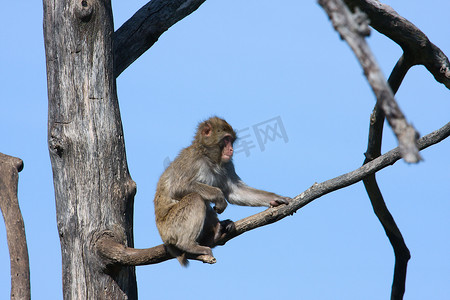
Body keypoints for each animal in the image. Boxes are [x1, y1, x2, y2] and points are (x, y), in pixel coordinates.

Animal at [153, 116, 290, 266]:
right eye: (226, 139)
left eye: (232, 140)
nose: (231, 150)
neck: (208, 158)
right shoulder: (192, 161)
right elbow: (178, 187)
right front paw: (219, 196)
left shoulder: (227, 164)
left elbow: (236, 192)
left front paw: (276, 198)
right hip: (171, 226)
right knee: (195, 198)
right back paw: (187, 244)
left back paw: (215, 234)